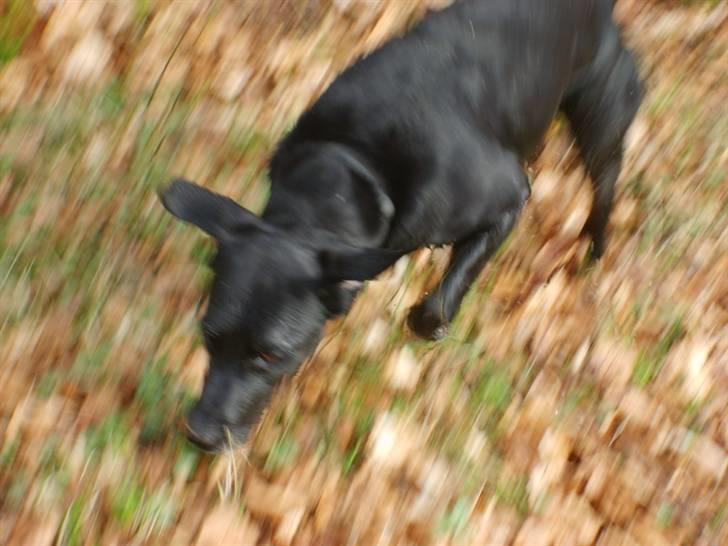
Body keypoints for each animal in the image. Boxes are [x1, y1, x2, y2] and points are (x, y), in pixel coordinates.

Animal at [162, 0, 640, 450]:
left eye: (268, 355)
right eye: (209, 334)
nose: (199, 434)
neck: (354, 164)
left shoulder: (510, 197)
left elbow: (433, 309)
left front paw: (431, 321)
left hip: (601, 111)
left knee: (605, 184)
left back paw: (595, 248)